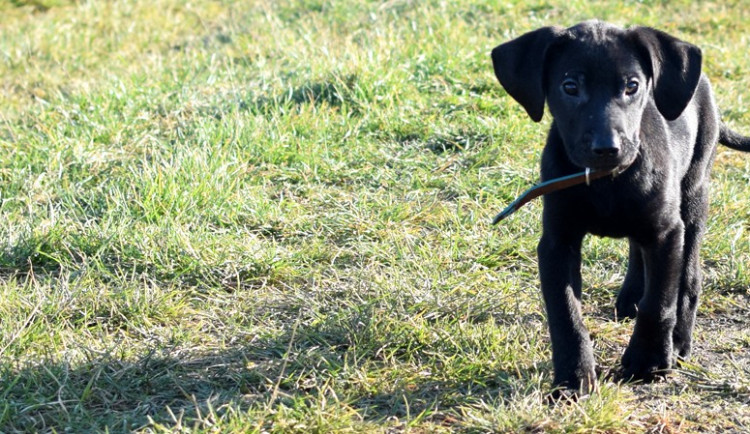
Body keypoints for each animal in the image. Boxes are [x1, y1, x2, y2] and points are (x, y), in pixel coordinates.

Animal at [494, 19, 750, 394]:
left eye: (632, 86)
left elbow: (659, 302)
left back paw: (679, 340)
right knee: (637, 248)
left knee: (688, 277)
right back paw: (631, 295)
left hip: (694, 193)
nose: (607, 148)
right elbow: (565, 312)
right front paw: (573, 376)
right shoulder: (557, 242)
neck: (605, 182)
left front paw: (648, 362)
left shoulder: (666, 231)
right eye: (570, 86)